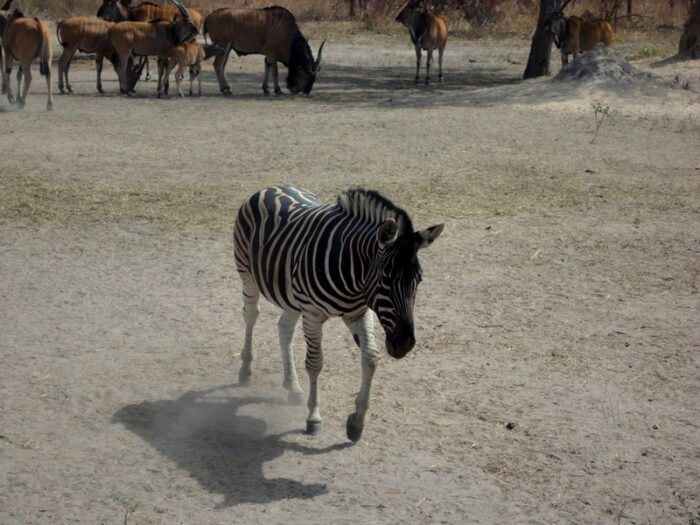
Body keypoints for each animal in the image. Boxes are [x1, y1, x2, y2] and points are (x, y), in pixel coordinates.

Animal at [233, 186, 444, 442]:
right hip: (247, 274)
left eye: (419, 280)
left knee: (284, 328)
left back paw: (293, 386)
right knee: (251, 315)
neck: (354, 278)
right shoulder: (312, 315)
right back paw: (245, 370)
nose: (404, 344)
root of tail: (272, 187)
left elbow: (371, 359)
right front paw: (314, 417)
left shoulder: (359, 313)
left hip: (291, 296)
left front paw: (357, 421)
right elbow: (315, 363)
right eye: (386, 279)